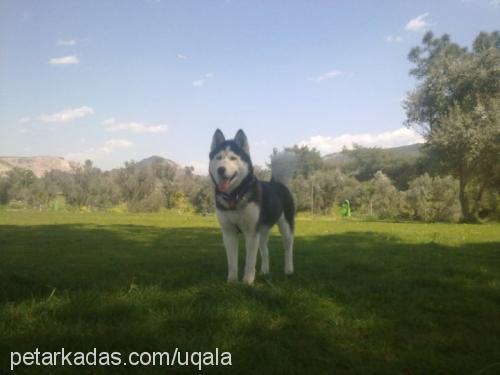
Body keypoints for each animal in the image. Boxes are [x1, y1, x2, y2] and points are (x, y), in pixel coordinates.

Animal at [208, 129, 294, 284]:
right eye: (218, 157)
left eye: (233, 158)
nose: (221, 169)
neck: (235, 196)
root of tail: (278, 183)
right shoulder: (229, 232)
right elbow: (232, 262)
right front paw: (232, 281)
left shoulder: (251, 232)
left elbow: (250, 261)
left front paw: (247, 281)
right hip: (262, 231)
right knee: (265, 251)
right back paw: (265, 271)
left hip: (285, 226)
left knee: (288, 247)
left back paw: (289, 269)